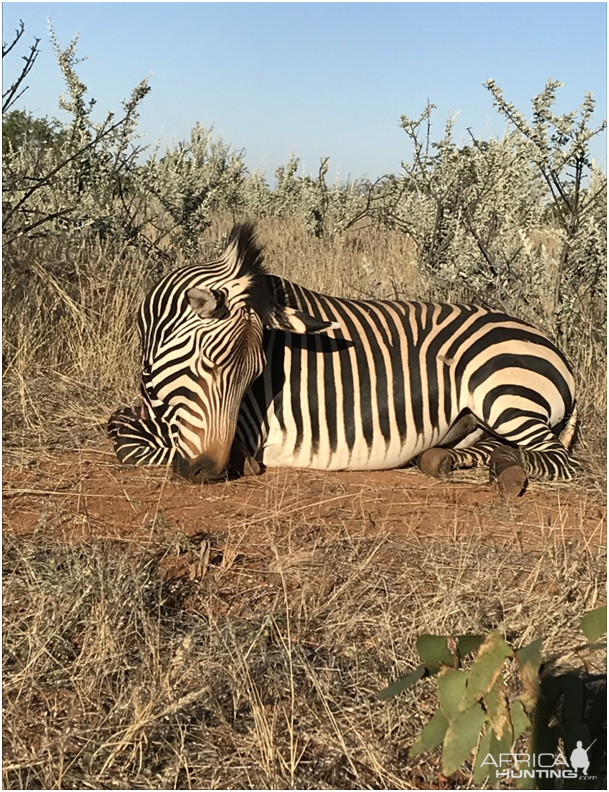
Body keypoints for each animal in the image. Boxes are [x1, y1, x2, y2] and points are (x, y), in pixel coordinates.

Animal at [107, 223, 576, 496]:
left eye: (254, 378)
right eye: (204, 366)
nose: (207, 472)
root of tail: (554, 348)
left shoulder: (242, 426)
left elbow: (128, 442)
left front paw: (246, 463)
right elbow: (120, 423)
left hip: (501, 392)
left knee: (557, 460)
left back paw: (509, 471)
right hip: (475, 422)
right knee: (490, 447)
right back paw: (445, 460)